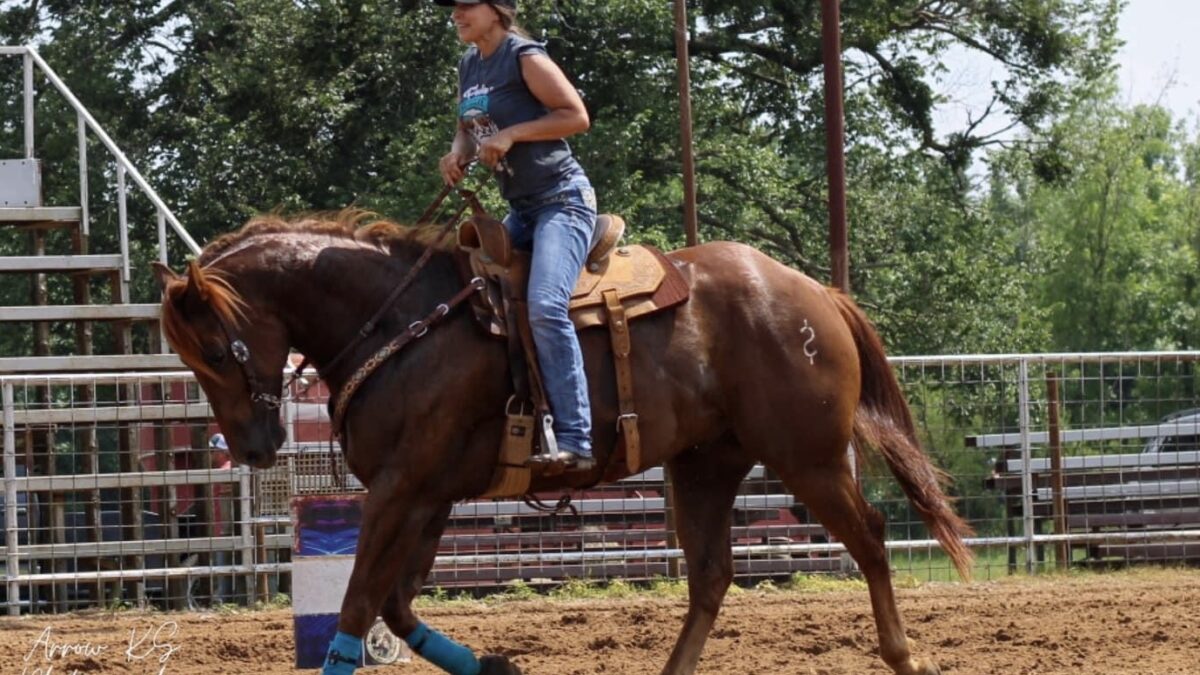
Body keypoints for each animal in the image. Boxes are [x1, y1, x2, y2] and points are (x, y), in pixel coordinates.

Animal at [154, 210, 972, 675]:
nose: (253, 446)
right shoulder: (428, 495)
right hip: (705, 465)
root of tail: (810, 292)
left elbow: (358, 607)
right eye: (192, 360)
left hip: (808, 455)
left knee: (870, 538)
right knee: (711, 576)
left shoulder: (401, 486)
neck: (402, 323)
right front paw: (493, 664)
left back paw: (903, 655)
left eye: (217, 350)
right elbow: (395, 605)